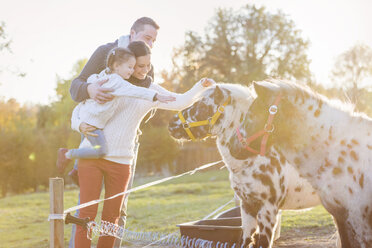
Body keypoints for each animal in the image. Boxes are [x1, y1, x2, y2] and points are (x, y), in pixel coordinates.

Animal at [168, 84, 320, 248]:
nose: (171, 124)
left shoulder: (268, 209)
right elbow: (244, 239)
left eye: (202, 106)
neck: (254, 159)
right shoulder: (247, 206)